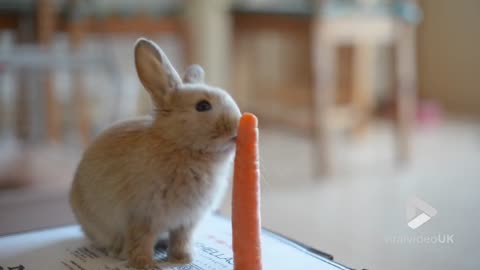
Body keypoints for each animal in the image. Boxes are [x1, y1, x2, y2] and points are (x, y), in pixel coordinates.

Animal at [68, 37, 240, 268]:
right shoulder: (142, 216)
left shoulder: (185, 221)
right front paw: (145, 265)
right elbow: (141, 240)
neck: (180, 145)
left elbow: (181, 239)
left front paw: (182, 259)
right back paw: (118, 252)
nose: (236, 127)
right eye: (203, 106)